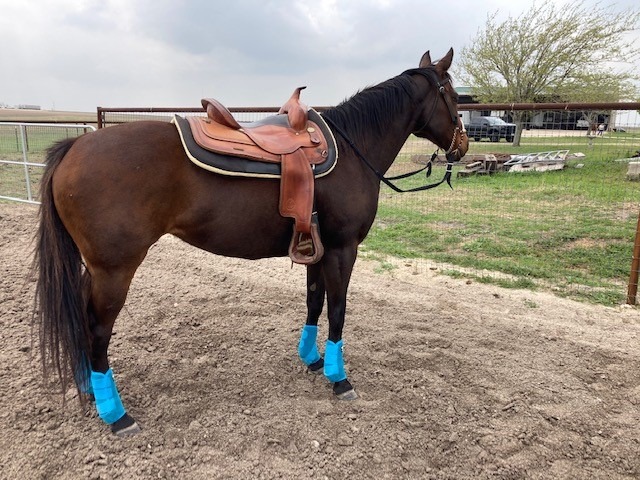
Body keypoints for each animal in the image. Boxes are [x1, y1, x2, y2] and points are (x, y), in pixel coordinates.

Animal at [33, 48, 468, 436]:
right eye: (453, 95)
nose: (462, 146)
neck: (351, 149)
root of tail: (74, 147)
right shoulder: (343, 249)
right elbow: (338, 310)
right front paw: (339, 377)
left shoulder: (316, 247)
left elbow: (314, 301)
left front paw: (312, 359)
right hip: (114, 270)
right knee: (96, 328)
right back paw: (115, 413)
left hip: (96, 269)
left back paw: (90, 389)